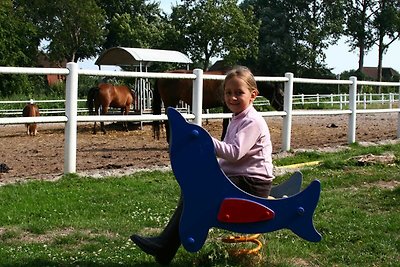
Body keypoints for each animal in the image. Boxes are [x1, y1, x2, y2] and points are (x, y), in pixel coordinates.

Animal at [153, 70, 284, 142]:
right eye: (280, 95)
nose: (283, 110)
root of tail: (163, 75)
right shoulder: (226, 106)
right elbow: (225, 123)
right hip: (170, 102)